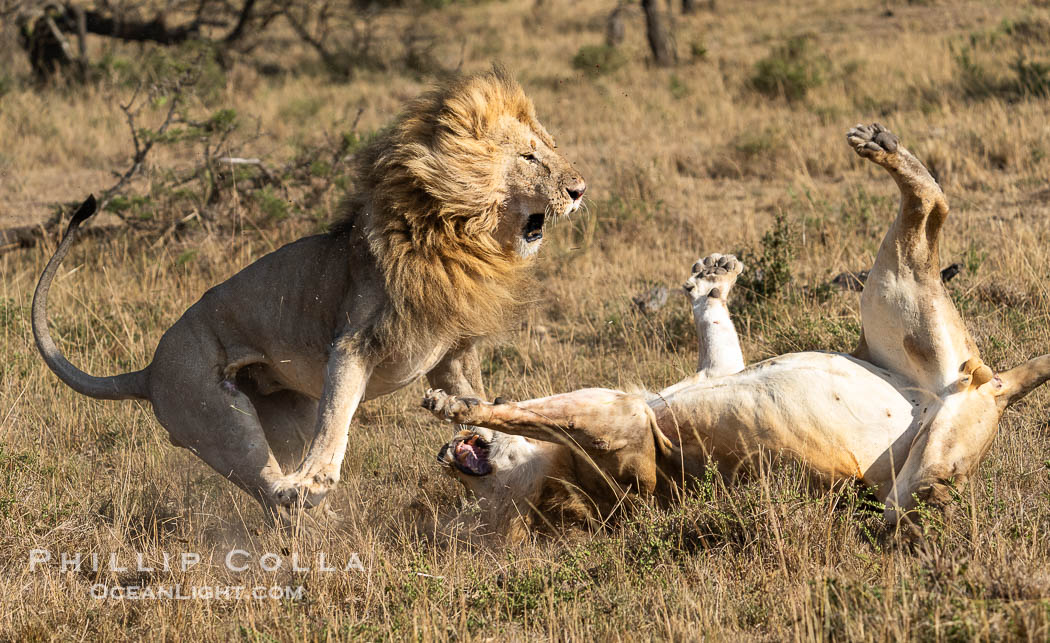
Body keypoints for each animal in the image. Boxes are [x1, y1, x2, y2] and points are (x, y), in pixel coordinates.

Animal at [32, 67, 588, 525]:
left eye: (551, 148)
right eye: (530, 157)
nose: (580, 190)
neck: (457, 235)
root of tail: (148, 371)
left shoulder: (449, 353)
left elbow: (469, 396)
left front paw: (485, 422)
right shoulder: (354, 342)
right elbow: (337, 415)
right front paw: (317, 477)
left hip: (282, 415)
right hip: (216, 412)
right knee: (265, 484)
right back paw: (299, 495)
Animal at [424, 122, 1050, 537]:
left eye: (473, 488)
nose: (445, 458)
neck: (560, 471)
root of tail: (987, 391)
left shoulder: (665, 393)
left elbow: (713, 334)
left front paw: (712, 277)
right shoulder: (623, 418)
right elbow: (527, 412)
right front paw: (456, 403)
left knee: (930, 203)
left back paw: (880, 144)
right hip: (908, 338)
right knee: (930, 210)